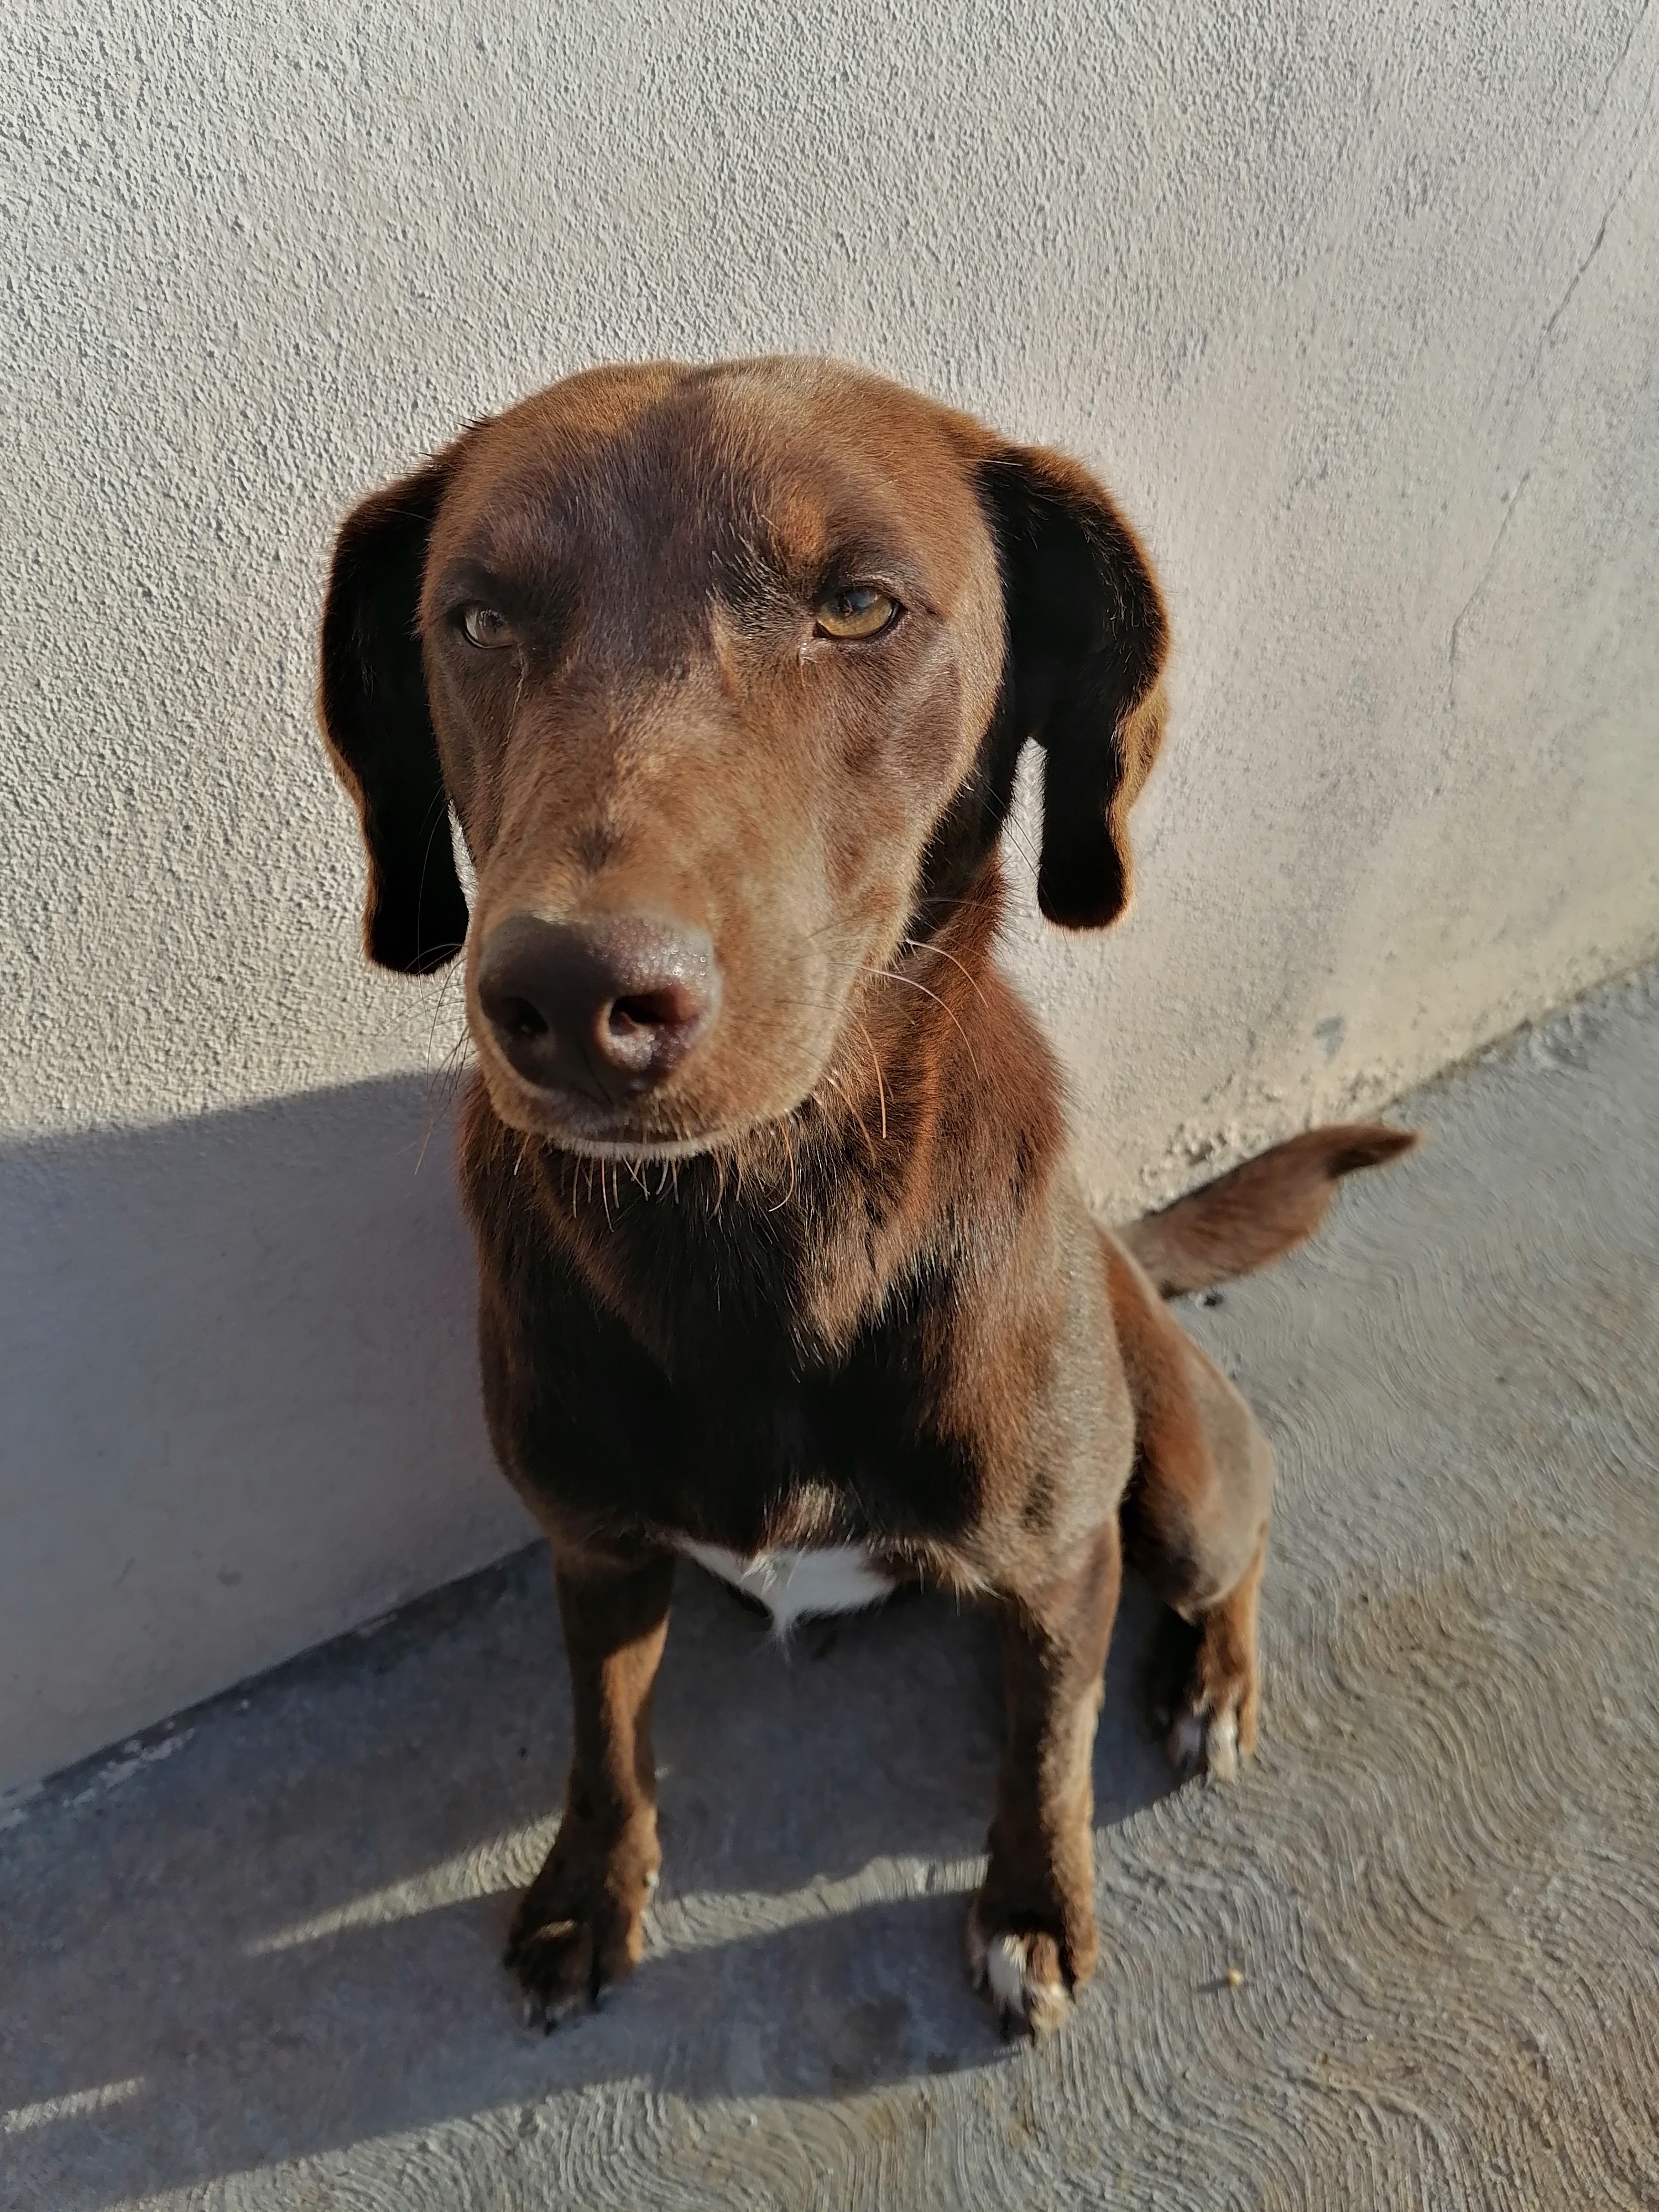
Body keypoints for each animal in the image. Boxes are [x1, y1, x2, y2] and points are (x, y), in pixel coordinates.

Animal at [317, 357, 1414, 2037]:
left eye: (857, 608)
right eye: (480, 618)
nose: (570, 998)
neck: (752, 1227)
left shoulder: (1056, 1563)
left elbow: (1043, 1753)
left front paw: (1030, 1906)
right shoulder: (598, 1547)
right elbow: (603, 1735)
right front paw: (589, 1886)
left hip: (1177, 1481)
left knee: (1234, 1532)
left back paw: (1211, 1682)